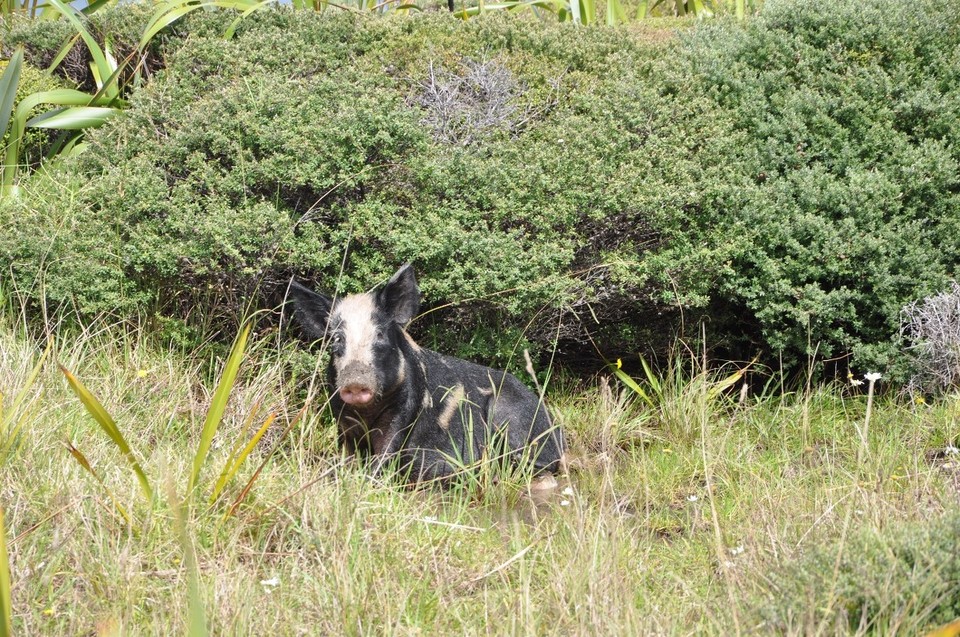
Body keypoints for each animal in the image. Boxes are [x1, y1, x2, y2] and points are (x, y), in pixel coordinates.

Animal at [288, 264, 564, 484]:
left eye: (380, 334)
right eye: (336, 338)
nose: (356, 380)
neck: (367, 414)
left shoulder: (406, 408)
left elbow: (385, 455)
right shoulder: (343, 420)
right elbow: (345, 457)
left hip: (512, 419)